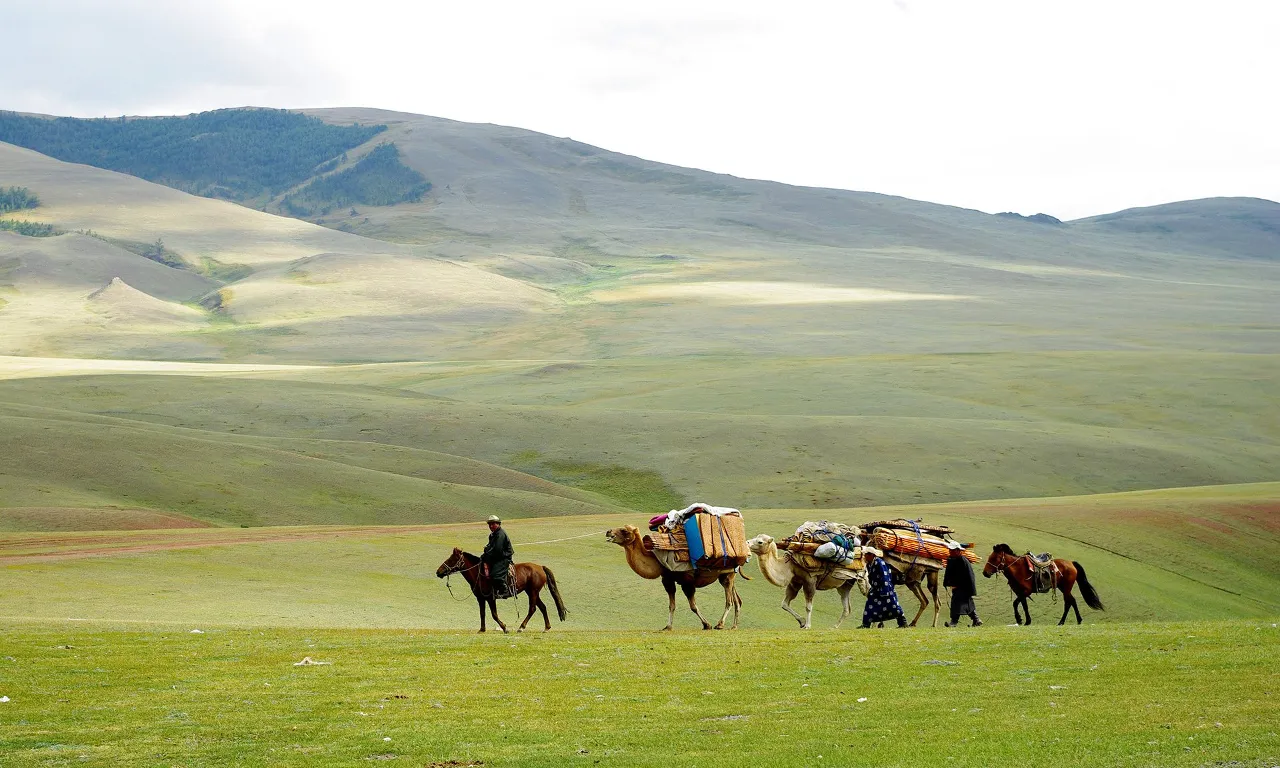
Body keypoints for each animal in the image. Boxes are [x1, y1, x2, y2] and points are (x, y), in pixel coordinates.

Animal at [435, 547, 565, 632]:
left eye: (451, 559)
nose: (438, 572)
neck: (479, 573)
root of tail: (541, 567)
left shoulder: (490, 598)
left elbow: (494, 614)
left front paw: (504, 628)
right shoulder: (480, 598)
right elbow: (482, 613)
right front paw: (482, 629)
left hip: (533, 592)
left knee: (532, 609)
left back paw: (521, 627)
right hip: (532, 592)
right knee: (543, 607)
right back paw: (546, 628)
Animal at [606, 524, 747, 632]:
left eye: (624, 530)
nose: (608, 532)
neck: (658, 561)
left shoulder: (687, 582)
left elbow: (693, 606)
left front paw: (707, 625)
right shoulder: (667, 580)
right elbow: (671, 605)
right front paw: (667, 627)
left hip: (727, 575)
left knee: (729, 600)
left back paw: (720, 624)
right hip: (727, 575)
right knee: (737, 600)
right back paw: (734, 626)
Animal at [742, 535, 870, 629]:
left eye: (760, 542)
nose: (746, 543)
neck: (789, 565)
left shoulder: (810, 581)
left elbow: (808, 606)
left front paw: (807, 625)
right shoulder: (795, 582)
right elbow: (784, 604)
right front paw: (802, 622)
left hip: (862, 577)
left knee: (868, 592)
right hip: (845, 584)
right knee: (847, 608)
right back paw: (834, 627)